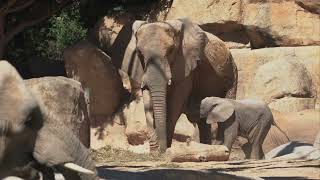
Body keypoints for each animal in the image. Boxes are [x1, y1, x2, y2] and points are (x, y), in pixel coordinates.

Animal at [112, 19, 238, 153]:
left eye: (171, 51)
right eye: (140, 53)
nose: (159, 151)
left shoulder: (186, 66)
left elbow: (176, 103)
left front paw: (165, 150)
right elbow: (147, 99)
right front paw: (155, 151)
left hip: (232, 73)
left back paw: (223, 149)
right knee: (202, 120)